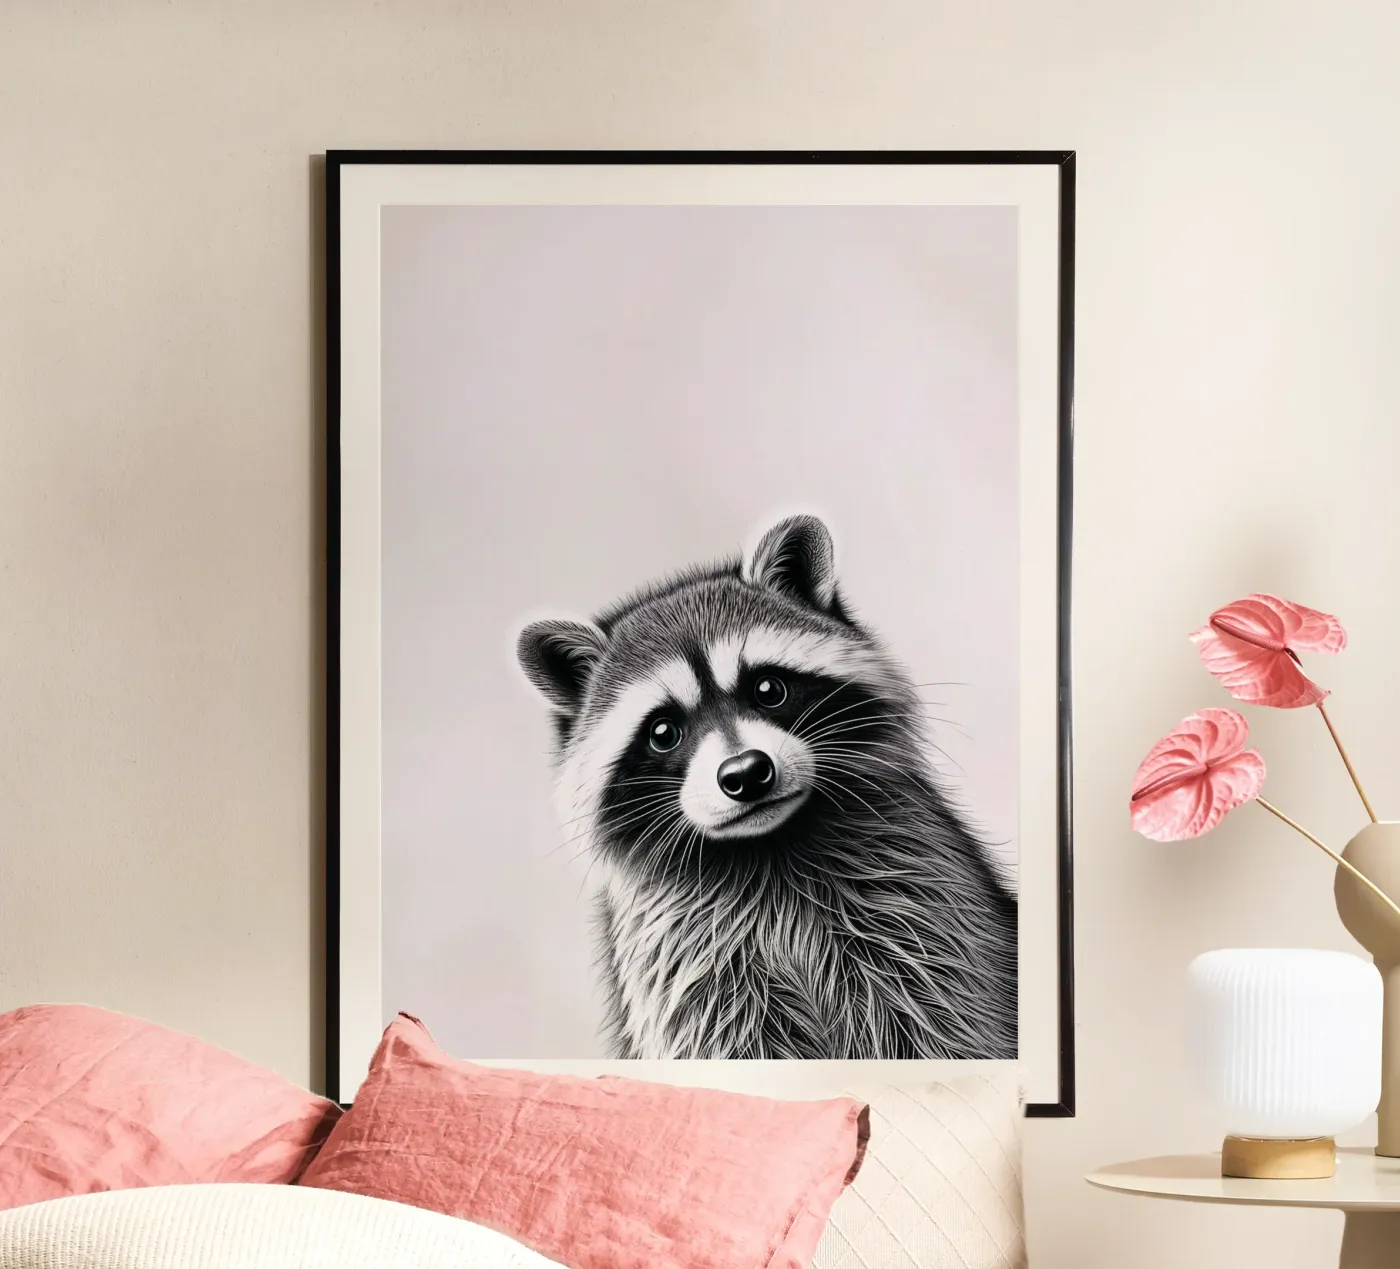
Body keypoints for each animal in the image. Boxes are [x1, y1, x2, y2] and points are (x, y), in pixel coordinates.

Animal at [516, 515, 1017, 1060]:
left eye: (768, 689)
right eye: (663, 732)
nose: (746, 773)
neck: (767, 847)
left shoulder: (922, 908)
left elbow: (946, 1028)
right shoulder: (684, 967)